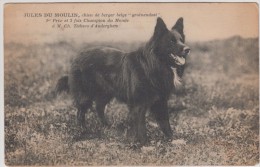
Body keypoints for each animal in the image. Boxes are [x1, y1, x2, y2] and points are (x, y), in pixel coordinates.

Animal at [56, 17, 189, 145]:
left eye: (181, 40)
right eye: (171, 41)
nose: (187, 49)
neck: (152, 65)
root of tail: (77, 56)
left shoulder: (161, 101)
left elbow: (166, 123)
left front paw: (173, 140)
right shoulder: (138, 104)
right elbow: (141, 126)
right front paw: (145, 144)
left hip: (106, 92)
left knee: (99, 107)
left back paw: (107, 126)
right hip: (85, 95)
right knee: (80, 112)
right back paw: (83, 130)